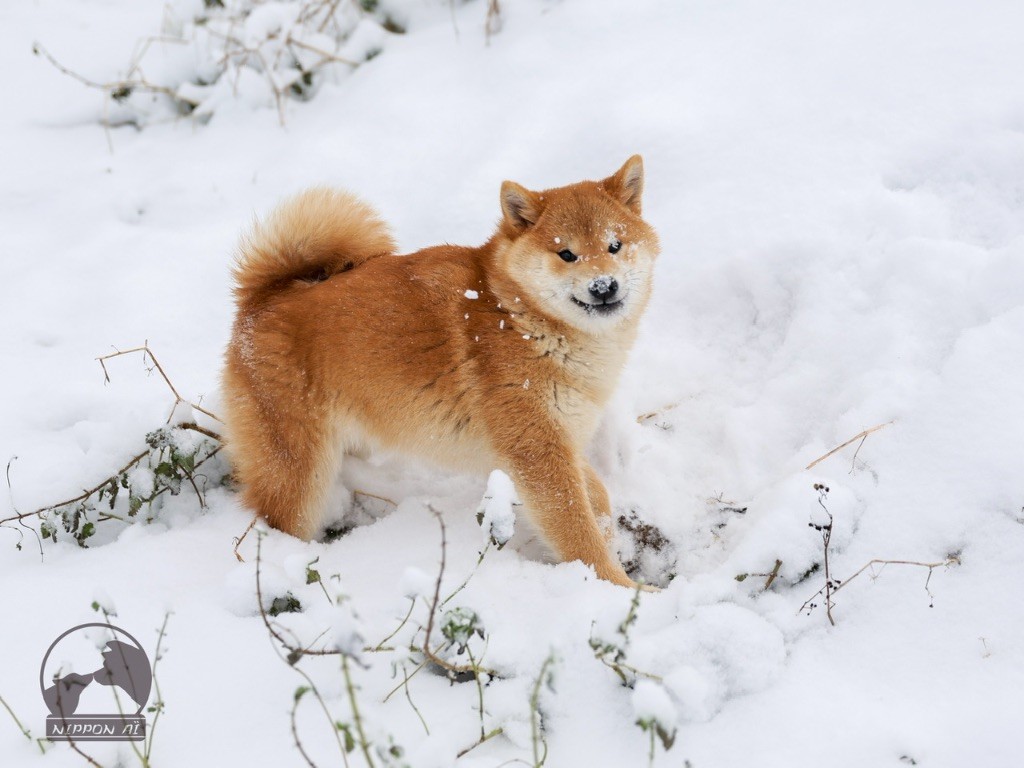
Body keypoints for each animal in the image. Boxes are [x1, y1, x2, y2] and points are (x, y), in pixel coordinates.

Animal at [220, 157, 659, 589]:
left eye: (615, 245)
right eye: (566, 254)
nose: (604, 286)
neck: (521, 317)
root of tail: (261, 302)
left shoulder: (559, 437)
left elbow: (597, 501)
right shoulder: (537, 451)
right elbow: (577, 532)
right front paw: (620, 588)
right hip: (297, 475)